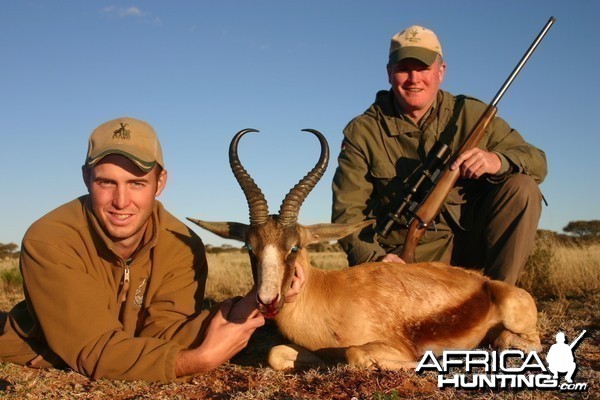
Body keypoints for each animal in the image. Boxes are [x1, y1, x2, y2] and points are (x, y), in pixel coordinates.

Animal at [189, 130, 544, 370]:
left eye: (294, 247)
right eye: (250, 246)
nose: (267, 301)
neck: (327, 294)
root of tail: (487, 283)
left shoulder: (389, 347)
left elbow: (356, 353)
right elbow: (276, 354)